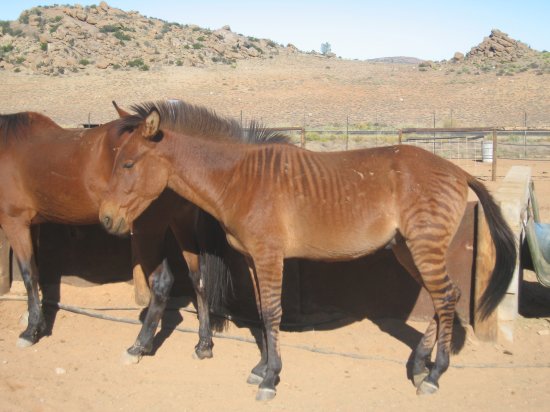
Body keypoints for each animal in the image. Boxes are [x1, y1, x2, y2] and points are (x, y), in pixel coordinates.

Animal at [101, 108, 520, 400]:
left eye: (128, 164)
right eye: (115, 161)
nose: (107, 220)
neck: (238, 179)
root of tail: (457, 171)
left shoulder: (269, 255)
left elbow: (272, 312)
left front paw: (271, 379)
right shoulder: (252, 257)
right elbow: (260, 311)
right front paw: (261, 367)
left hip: (424, 245)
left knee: (446, 298)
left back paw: (434, 375)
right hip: (407, 249)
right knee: (444, 297)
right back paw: (419, 365)